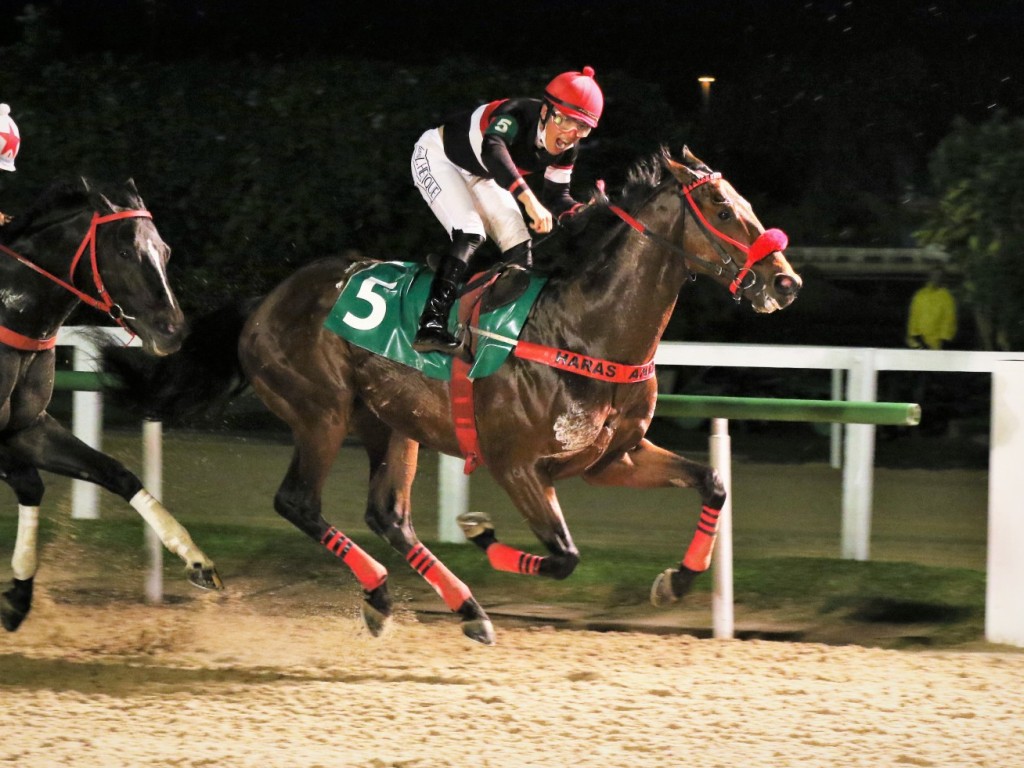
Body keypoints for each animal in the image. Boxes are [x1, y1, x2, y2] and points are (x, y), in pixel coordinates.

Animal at [0, 179, 223, 630]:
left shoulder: (27, 428)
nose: (173, 330)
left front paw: (195, 559)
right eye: (124, 252)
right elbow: (30, 482)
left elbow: (115, 473)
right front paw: (17, 595)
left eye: (165, 250)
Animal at [108, 148, 802, 643]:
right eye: (720, 208)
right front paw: (478, 529)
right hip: (321, 413)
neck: (582, 328)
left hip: (393, 424)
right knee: (298, 501)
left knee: (388, 516)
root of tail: (263, 304)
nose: (785, 282)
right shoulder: (516, 464)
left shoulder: (612, 459)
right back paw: (383, 594)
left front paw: (674, 583)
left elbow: (713, 483)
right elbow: (563, 557)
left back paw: (464, 609)